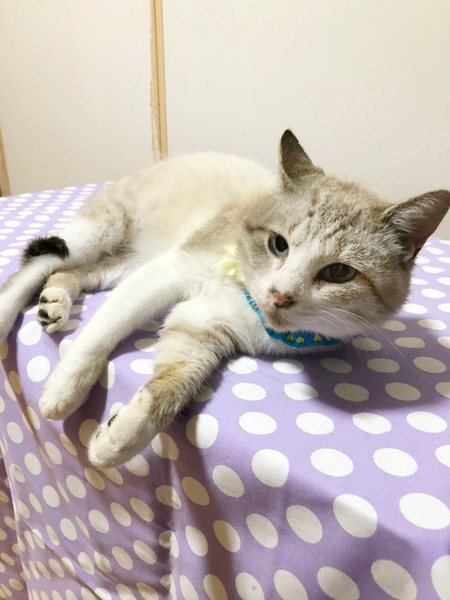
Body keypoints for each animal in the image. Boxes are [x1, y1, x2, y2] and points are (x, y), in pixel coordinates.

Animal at [0, 130, 448, 468]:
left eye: (339, 273)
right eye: (278, 244)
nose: (280, 295)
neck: (247, 300)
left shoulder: (201, 328)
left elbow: (171, 389)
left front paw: (117, 440)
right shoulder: (170, 272)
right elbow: (99, 335)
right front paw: (62, 394)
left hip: (124, 264)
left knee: (70, 272)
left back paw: (54, 302)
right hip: (103, 231)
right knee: (40, 262)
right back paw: (12, 312)